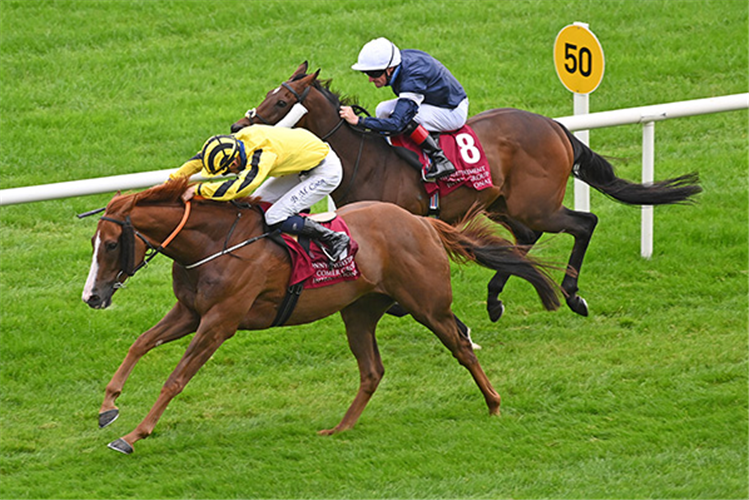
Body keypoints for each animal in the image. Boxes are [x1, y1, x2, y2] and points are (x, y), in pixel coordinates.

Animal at [83, 178, 560, 456]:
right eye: (94, 242)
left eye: (111, 244)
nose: (92, 297)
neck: (215, 244)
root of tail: (424, 224)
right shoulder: (190, 311)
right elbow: (140, 343)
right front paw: (109, 407)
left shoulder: (219, 321)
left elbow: (176, 379)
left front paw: (132, 436)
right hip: (359, 311)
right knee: (372, 370)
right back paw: (341, 428)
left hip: (428, 304)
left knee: (460, 344)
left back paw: (494, 403)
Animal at [229, 62, 700, 322]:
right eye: (268, 95)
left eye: (280, 101)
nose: (237, 126)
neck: (368, 157)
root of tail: (555, 126)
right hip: (502, 204)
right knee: (526, 239)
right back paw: (495, 300)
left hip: (536, 204)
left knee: (584, 223)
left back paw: (572, 294)